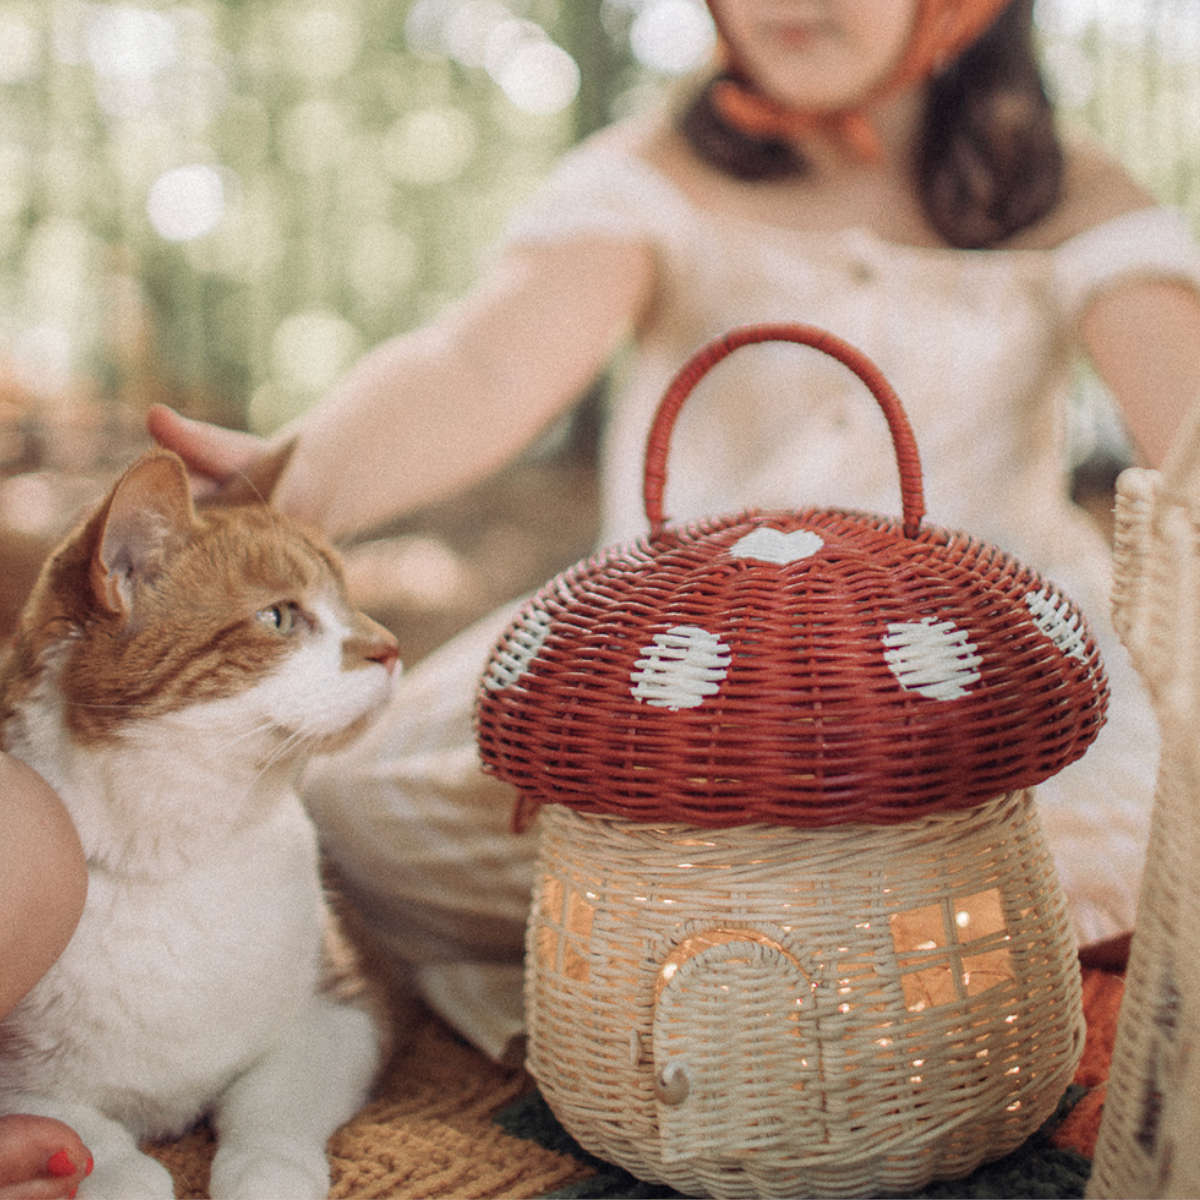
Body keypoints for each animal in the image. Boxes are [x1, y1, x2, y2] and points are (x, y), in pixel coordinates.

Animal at [0, 446, 400, 1195]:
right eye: (279, 617)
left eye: (350, 599)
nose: (391, 647)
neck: (179, 858)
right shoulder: (18, 1083)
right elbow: (83, 1134)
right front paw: (121, 1175)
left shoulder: (344, 1009)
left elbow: (271, 1104)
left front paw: (267, 1173)